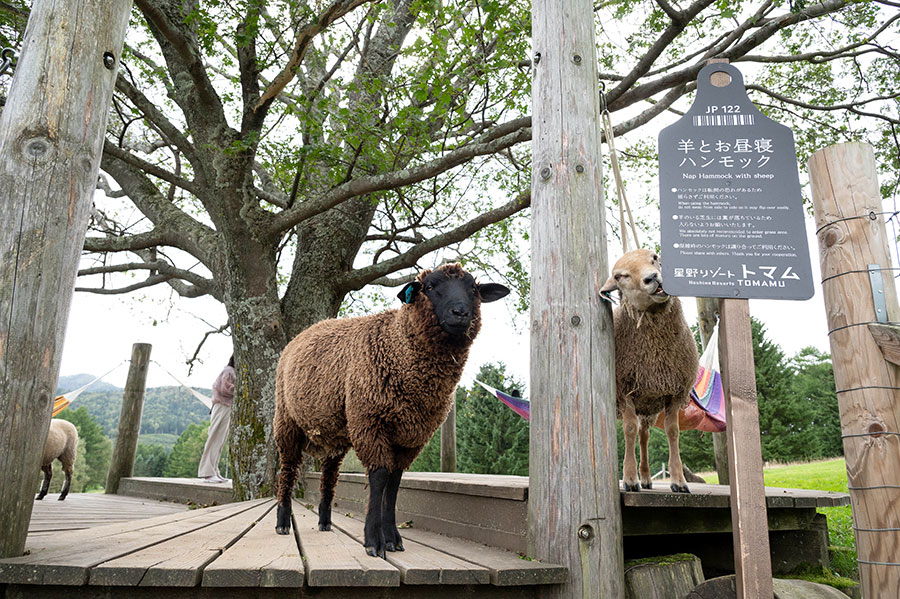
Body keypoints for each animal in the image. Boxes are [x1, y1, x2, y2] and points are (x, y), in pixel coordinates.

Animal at [600, 247, 700, 492]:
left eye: (654, 258)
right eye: (619, 276)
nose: (652, 278)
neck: (655, 355)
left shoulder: (675, 392)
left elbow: (673, 433)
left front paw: (678, 481)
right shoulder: (624, 390)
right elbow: (628, 430)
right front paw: (629, 479)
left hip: (647, 405)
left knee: (644, 436)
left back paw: (645, 477)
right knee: (636, 432)